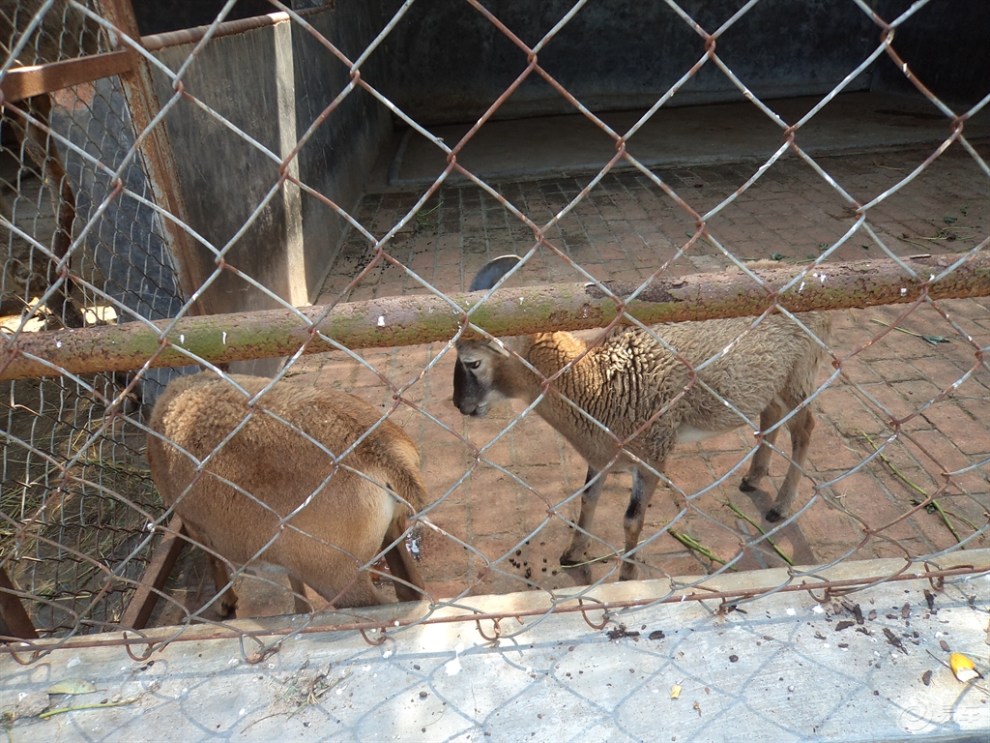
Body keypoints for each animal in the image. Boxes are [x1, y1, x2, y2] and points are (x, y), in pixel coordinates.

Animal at [147, 374, 426, 612]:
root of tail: (385, 457)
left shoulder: (194, 524)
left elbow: (214, 559)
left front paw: (226, 602)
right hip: (390, 532)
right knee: (412, 592)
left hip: (338, 574)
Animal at [454, 256, 832, 580]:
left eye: (473, 362)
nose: (460, 405)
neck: (598, 384)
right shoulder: (604, 452)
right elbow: (587, 498)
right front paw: (573, 553)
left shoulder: (653, 451)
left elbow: (631, 521)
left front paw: (627, 575)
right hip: (770, 380)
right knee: (771, 415)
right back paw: (753, 478)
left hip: (800, 372)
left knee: (804, 429)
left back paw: (780, 506)